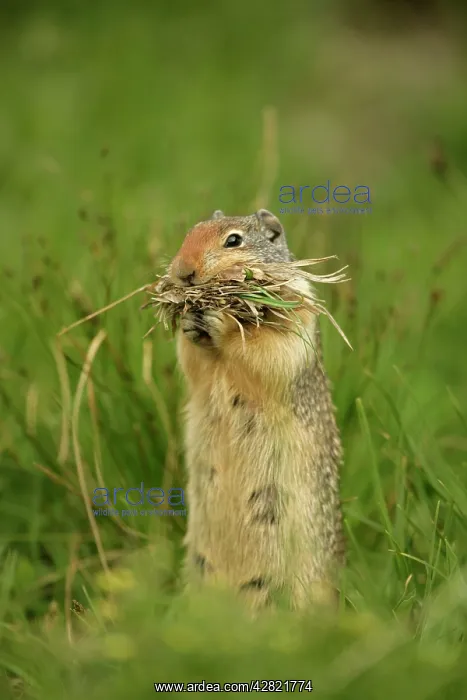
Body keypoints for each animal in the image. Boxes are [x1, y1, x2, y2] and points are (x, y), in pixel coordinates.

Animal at [169, 208, 344, 610]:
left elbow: (269, 350)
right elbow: (192, 362)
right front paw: (189, 320)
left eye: (234, 240)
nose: (183, 271)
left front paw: (219, 320)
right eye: (190, 232)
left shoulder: (297, 312)